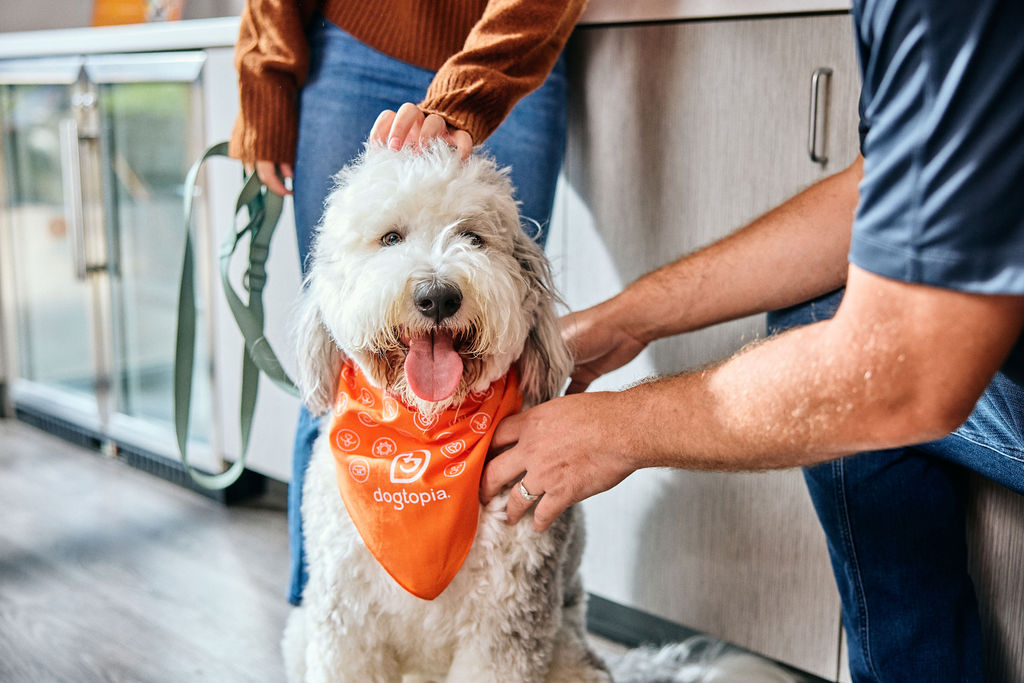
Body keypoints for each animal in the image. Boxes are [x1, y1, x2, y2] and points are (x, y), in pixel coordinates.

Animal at [284, 141, 610, 679]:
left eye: (473, 237)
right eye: (390, 238)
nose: (437, 297)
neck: (423, 431)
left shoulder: (506, 625)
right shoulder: (345, 620)